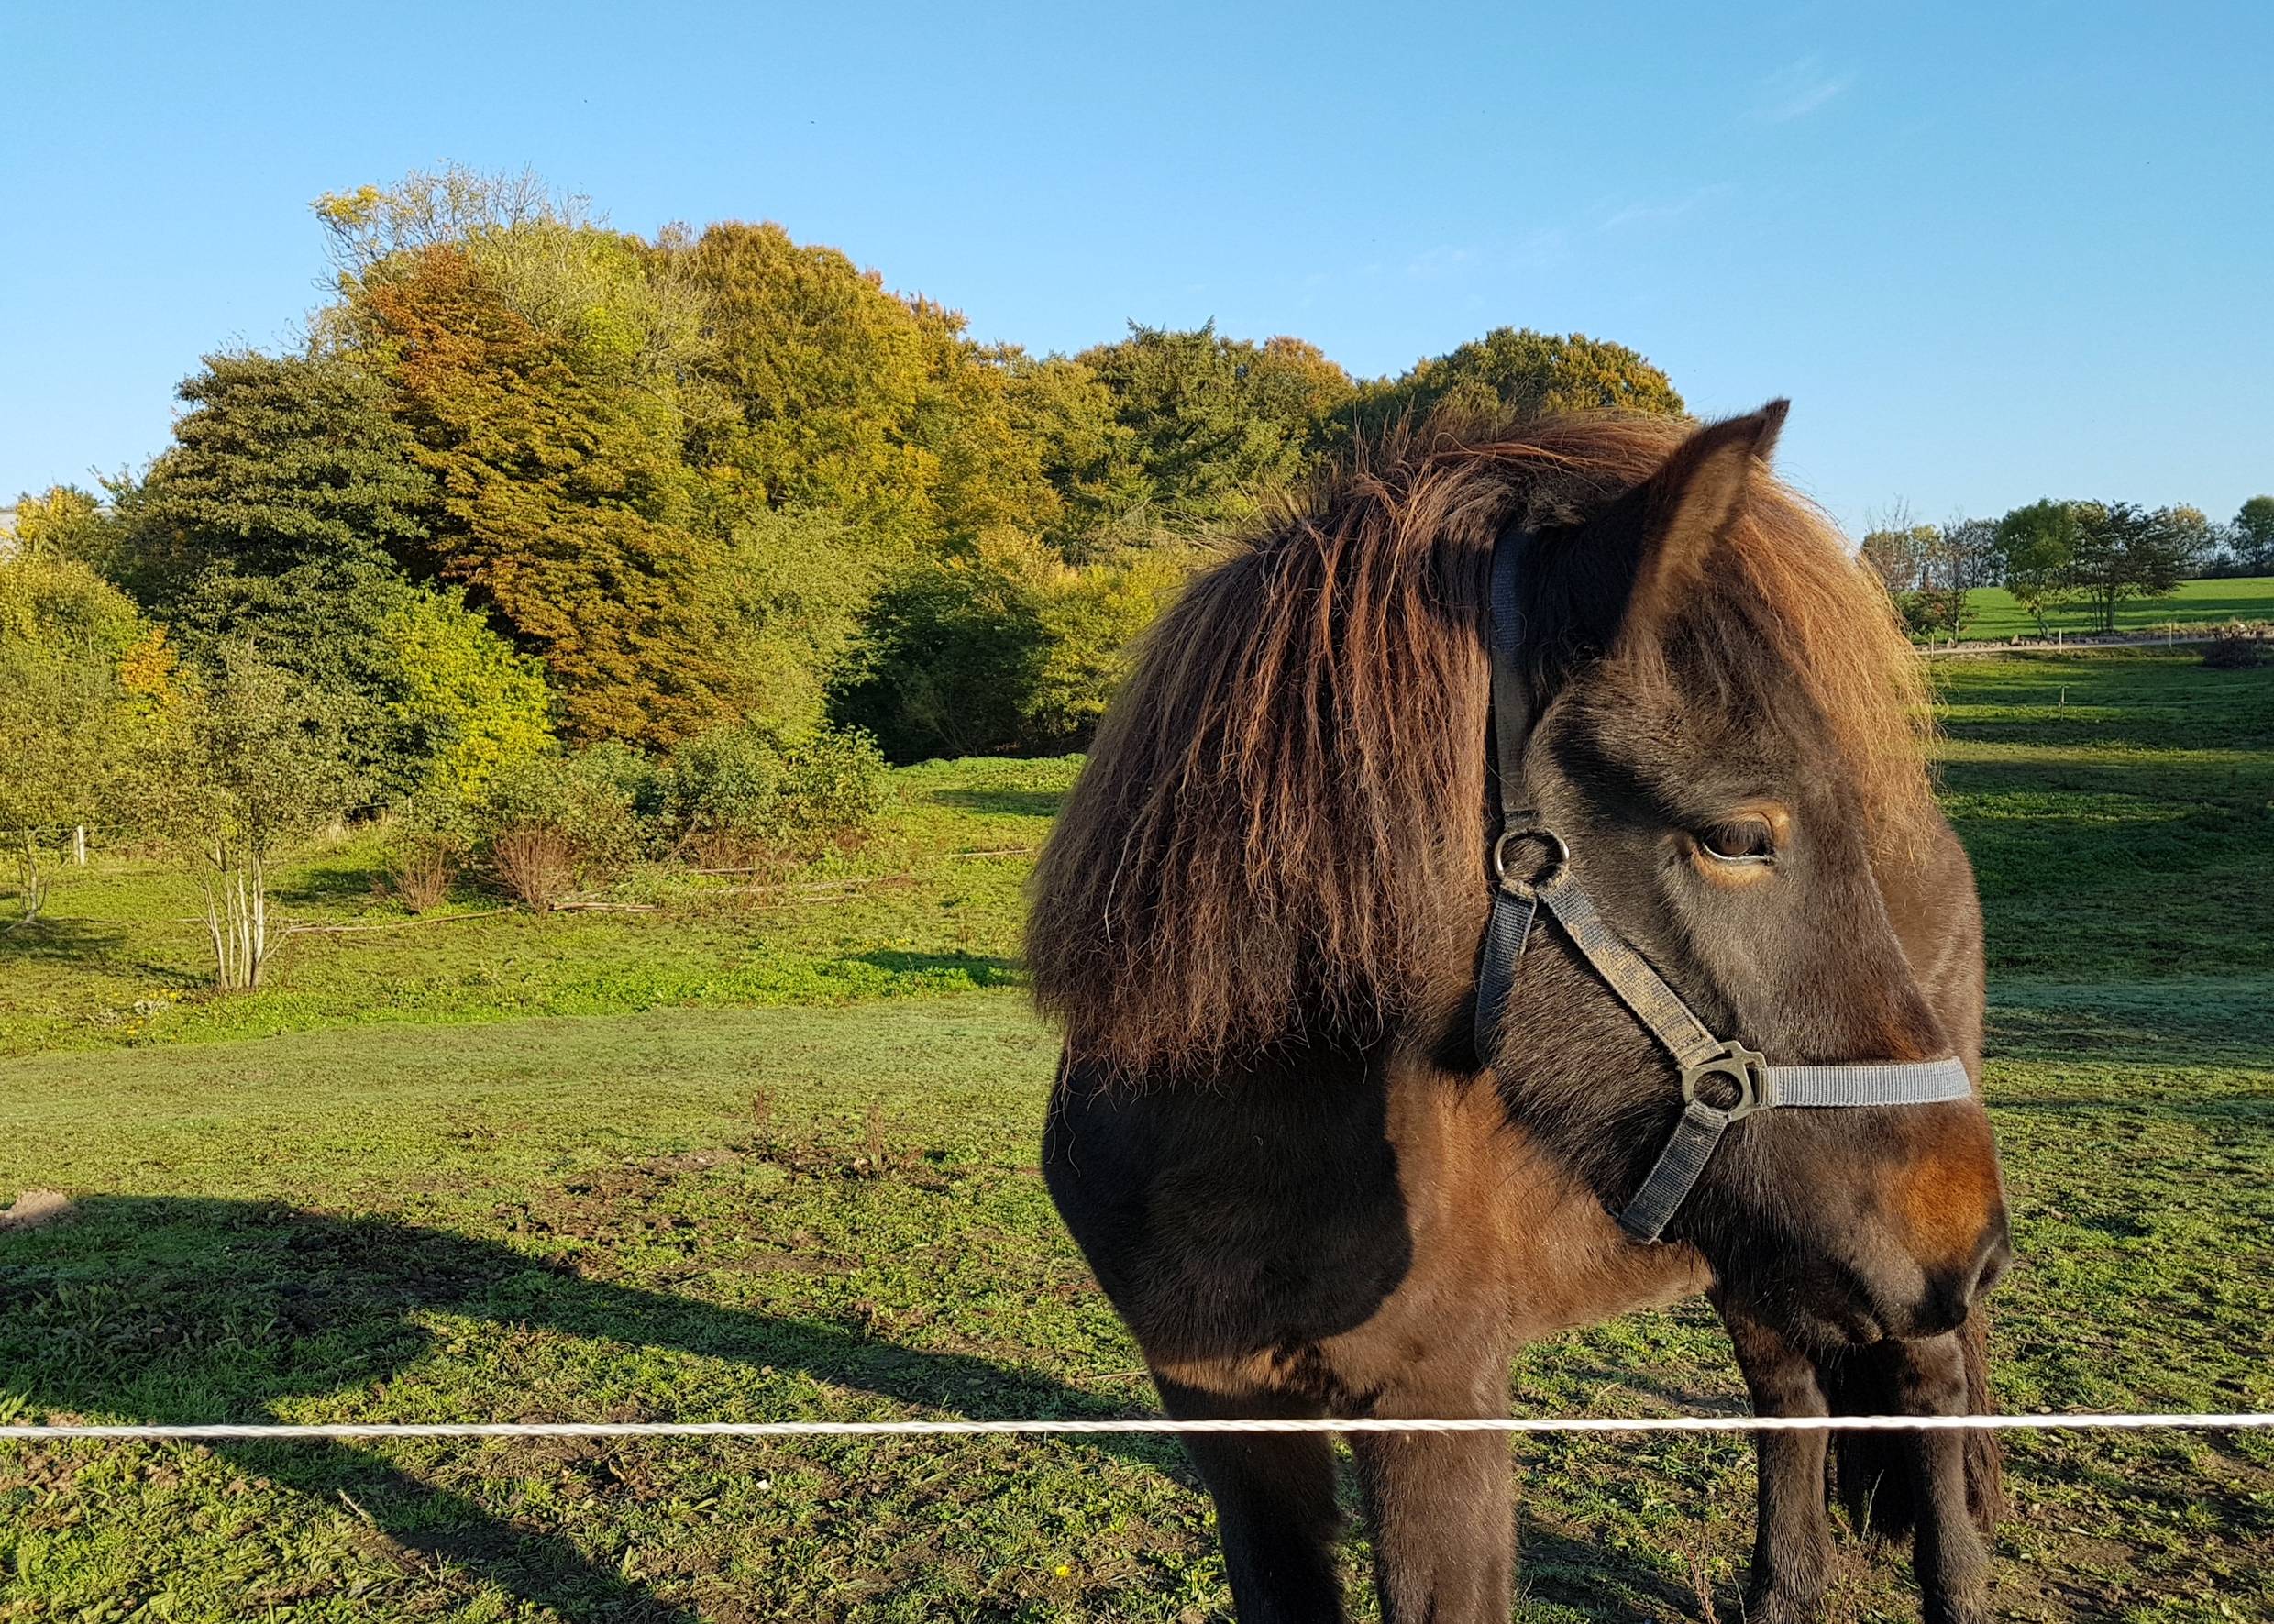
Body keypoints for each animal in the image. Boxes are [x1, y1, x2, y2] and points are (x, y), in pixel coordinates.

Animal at [1027, 404, 2011, 1624]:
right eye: (1738, 835)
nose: (1968, 1235)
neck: (1239, 1158)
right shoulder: (1222, 1417)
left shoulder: (1437, 1407)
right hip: (1762, 1255)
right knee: (1790, 1394)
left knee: (1932, 1384)